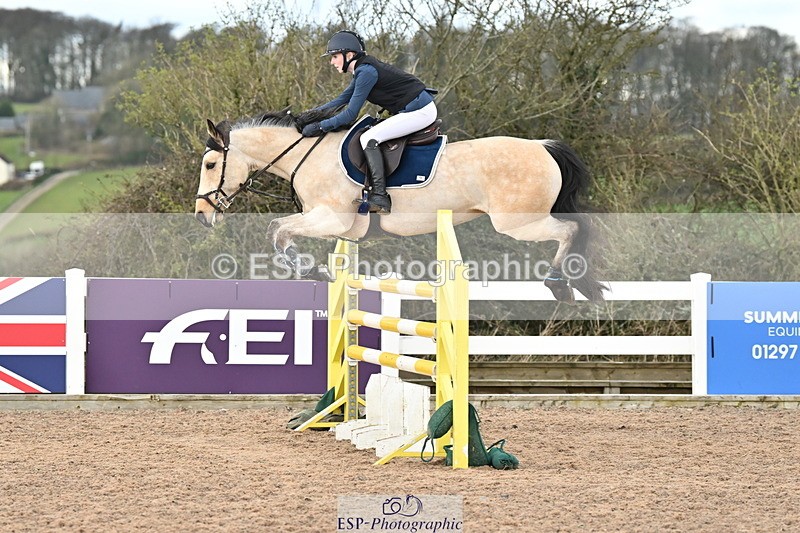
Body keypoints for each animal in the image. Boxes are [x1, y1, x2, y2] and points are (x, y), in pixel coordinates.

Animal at [194, 108, 606, 302]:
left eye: (211, 165)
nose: (201, 215)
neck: (306, 156)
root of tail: (542, 146)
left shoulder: (332, 219)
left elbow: (277, 230)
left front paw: (313, 270)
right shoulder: (333, 224)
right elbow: (279, 231)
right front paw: (317, 270)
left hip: (517, 223)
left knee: (573, 229)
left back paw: (560, 284)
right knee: (577, 228)